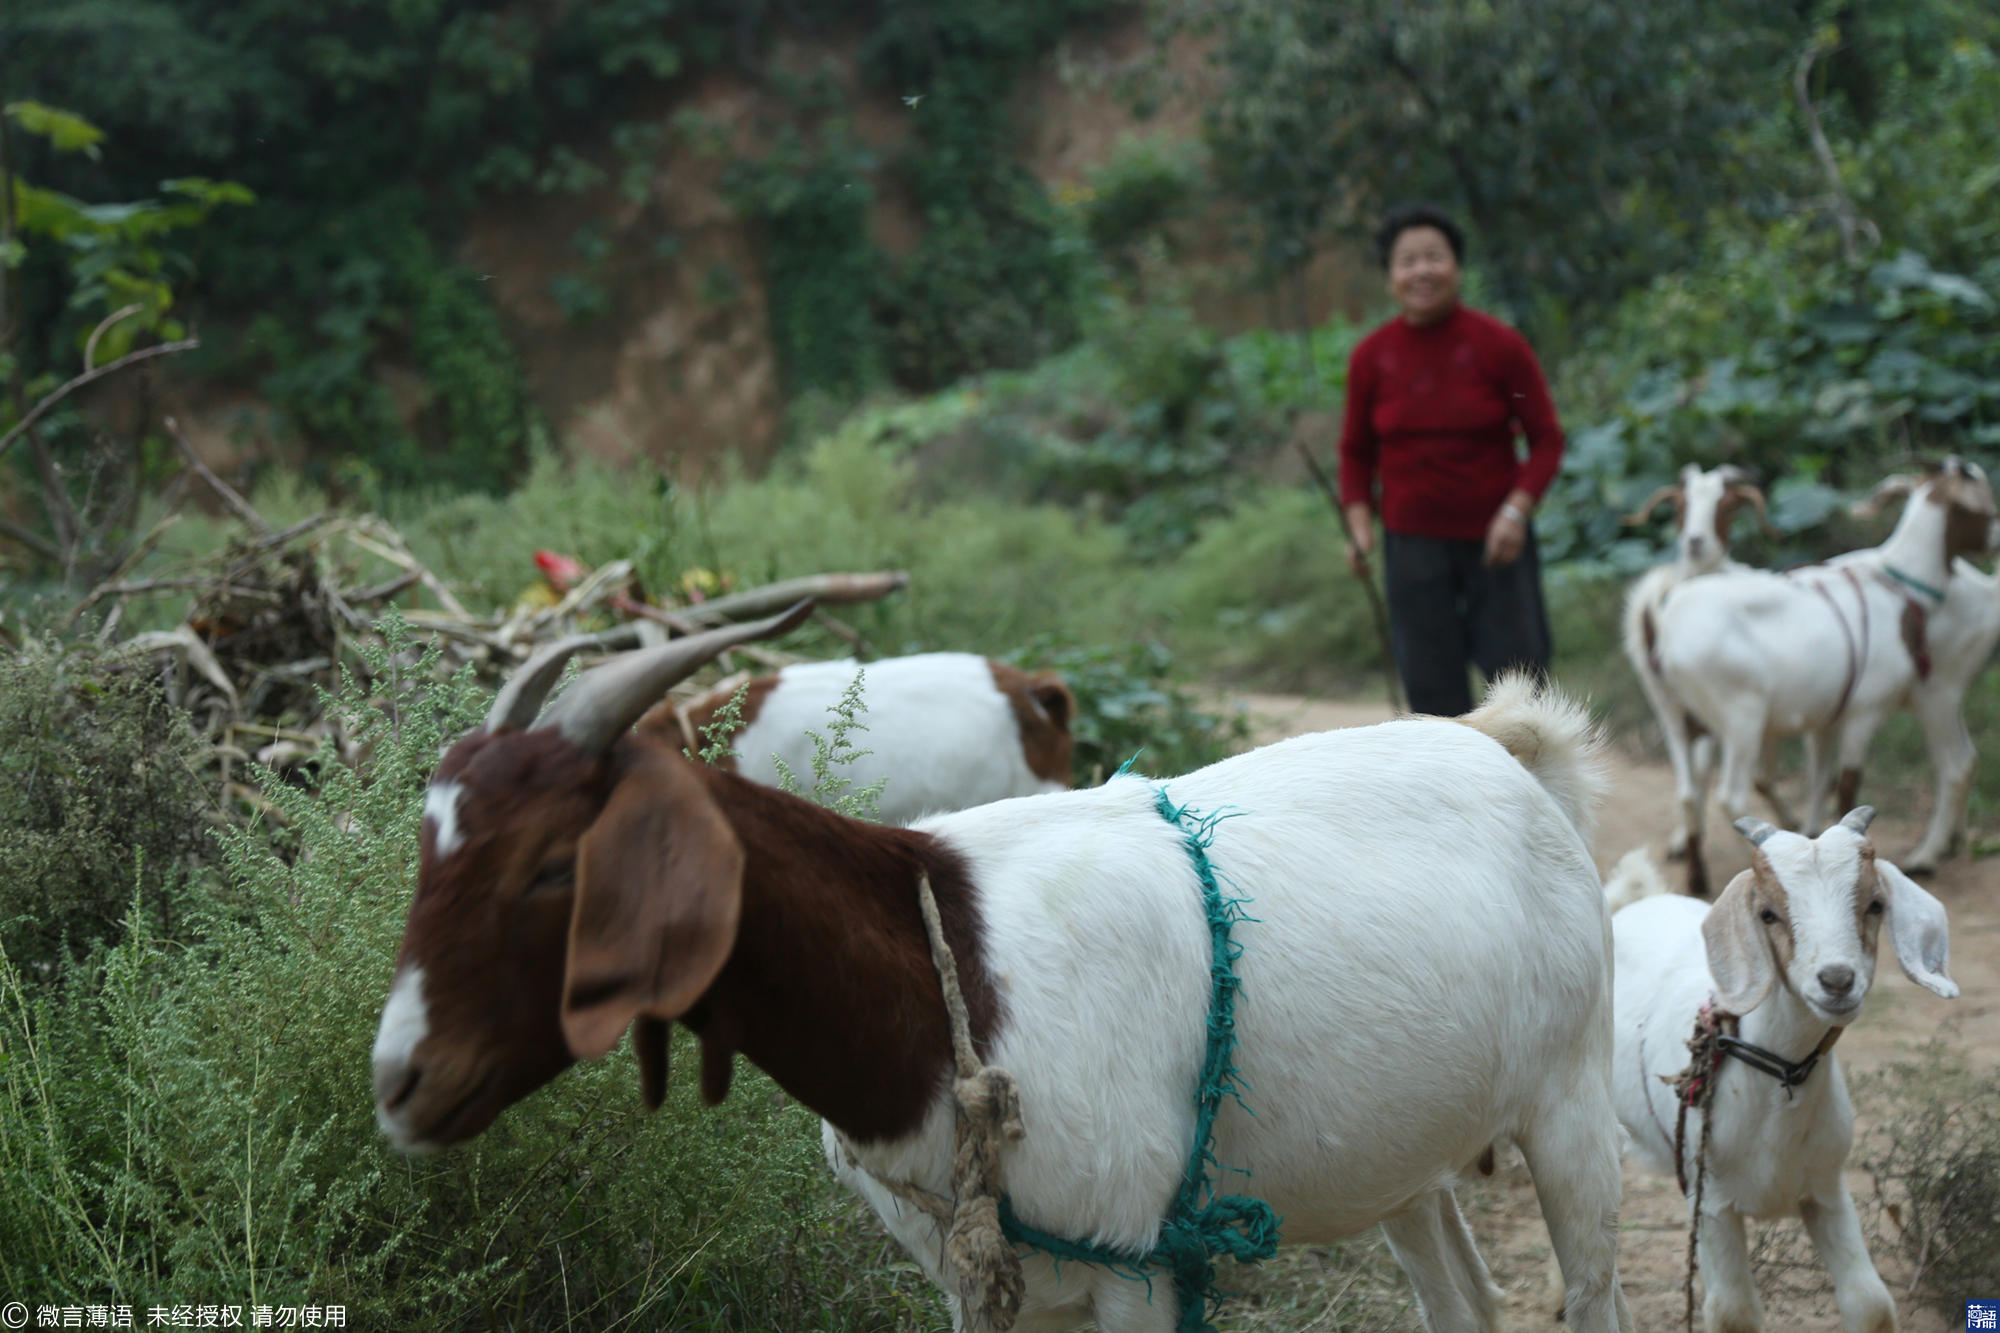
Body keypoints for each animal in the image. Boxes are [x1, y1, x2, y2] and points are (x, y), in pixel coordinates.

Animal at [1608, 808, 1952, 1328]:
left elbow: (1869, 1302)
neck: (1775, 1080)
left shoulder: (1827, 1189)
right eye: (1768, 913)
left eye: (1875, 904)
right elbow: (1733, 1311)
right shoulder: (1711, 1204)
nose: (1837, 981)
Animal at [1656, 456, 2000, 892]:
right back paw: (1927, 854)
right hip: (1744, 717)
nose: (1997, 539)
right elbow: (1847, 786)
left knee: (1689, 790)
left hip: (1681, 715)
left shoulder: (1826, 716)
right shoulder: (1864, 711)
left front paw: (1811, 836)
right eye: (1983, 504)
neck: (1896, 583)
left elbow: (1820, 779)